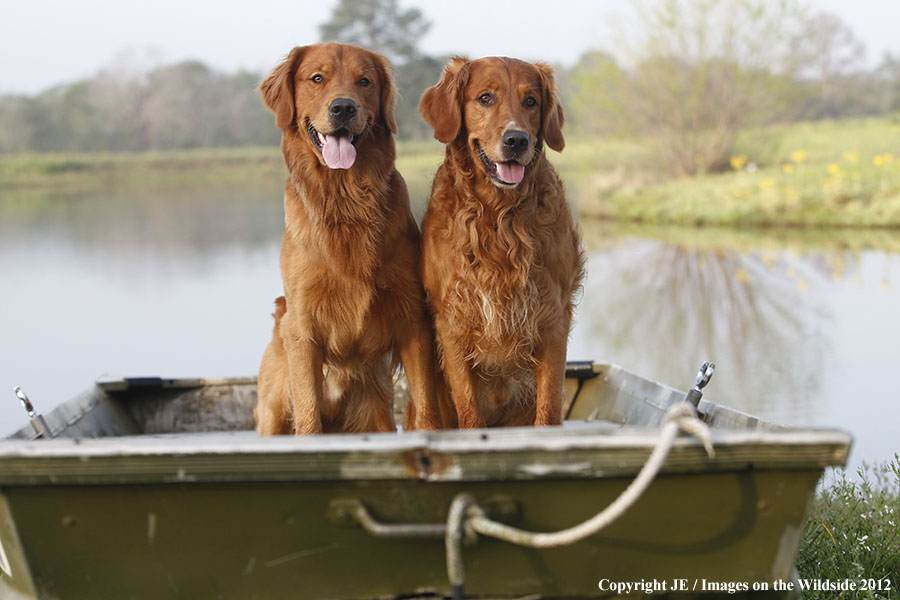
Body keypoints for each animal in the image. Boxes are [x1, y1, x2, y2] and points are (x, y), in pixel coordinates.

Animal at [255, 43, 442, 436]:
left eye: (365, 81)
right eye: (317, 78)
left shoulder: (413, 319)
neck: (345, 198)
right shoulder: (303, 330)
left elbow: (426, 404)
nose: (343, 107)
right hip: (273, 410)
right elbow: (309, 415)